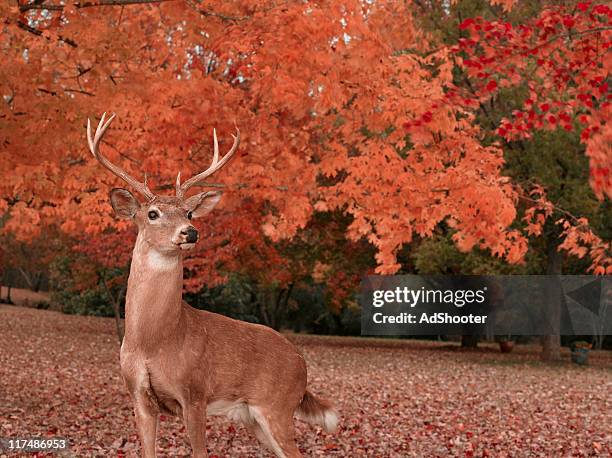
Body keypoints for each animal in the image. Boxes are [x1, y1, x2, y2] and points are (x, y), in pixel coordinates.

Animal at [86, 112, 338, 456]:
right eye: (152, 213)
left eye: (189, 213)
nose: (190, 232)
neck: (153, 341)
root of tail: (302, 365)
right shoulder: (138, 397)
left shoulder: (194, 393)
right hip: (253, 417)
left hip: (278, 405)